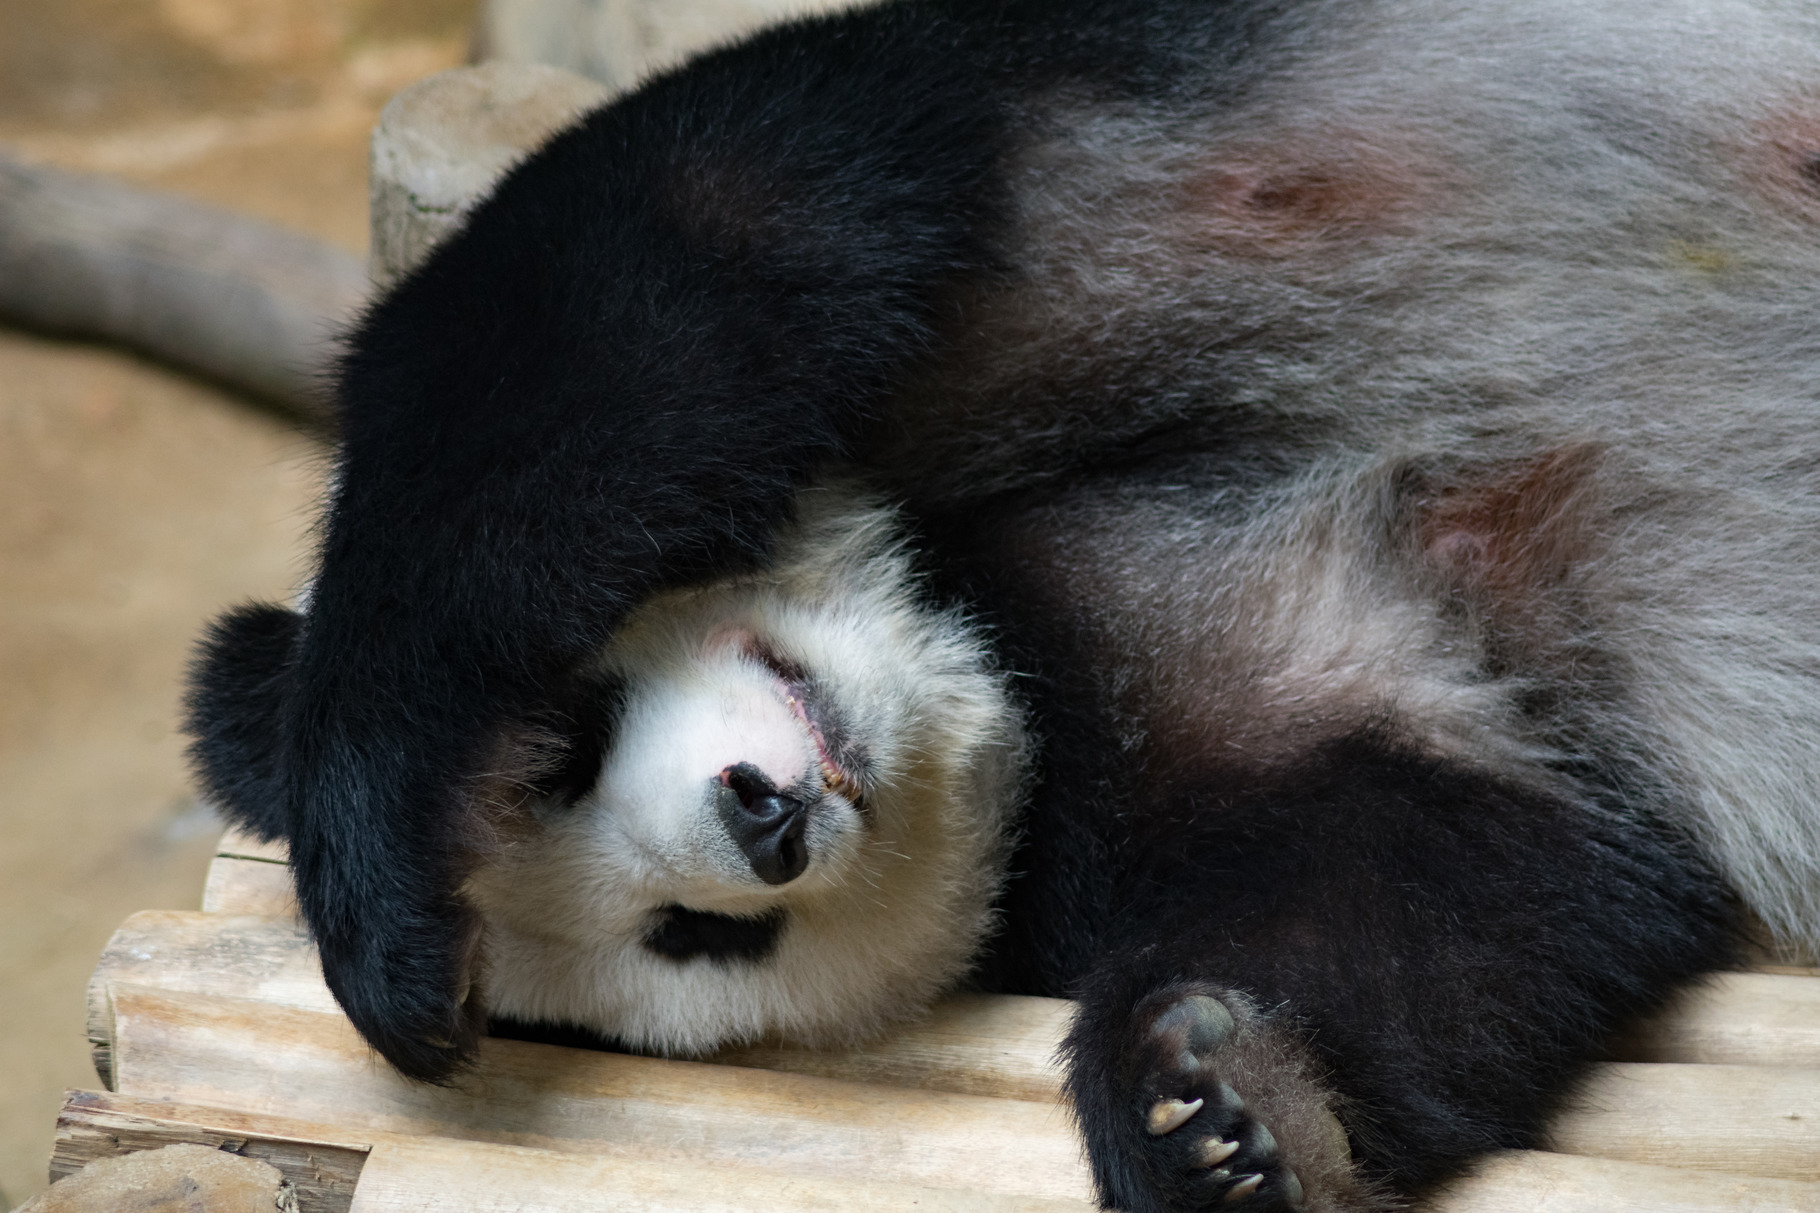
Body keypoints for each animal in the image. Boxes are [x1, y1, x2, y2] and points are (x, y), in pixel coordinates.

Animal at [187, 2, 1820, 1211]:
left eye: (575, 747)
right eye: (691, 940)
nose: (762, 819)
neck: (984, 639)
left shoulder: (1049, 173)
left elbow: (653, 279)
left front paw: (386, 900)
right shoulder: (1249, 706)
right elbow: (1475, 868)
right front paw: (1217, 1112)